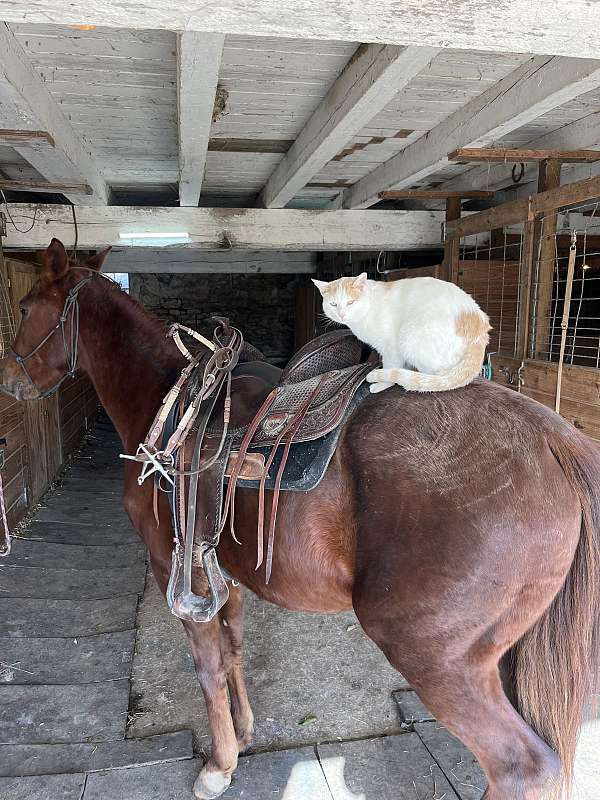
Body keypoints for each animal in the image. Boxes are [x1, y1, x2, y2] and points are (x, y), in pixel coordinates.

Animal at [1, 238, 599, 800]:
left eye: (26, 306)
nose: (9, 379)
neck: (170, 404)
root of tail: (554, 439)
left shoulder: (177, 573)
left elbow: (208, 668)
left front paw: (218, 767)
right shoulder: (224, 573)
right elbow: (233, 651)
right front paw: (243, 735)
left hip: (438, 659)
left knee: (521, 767)